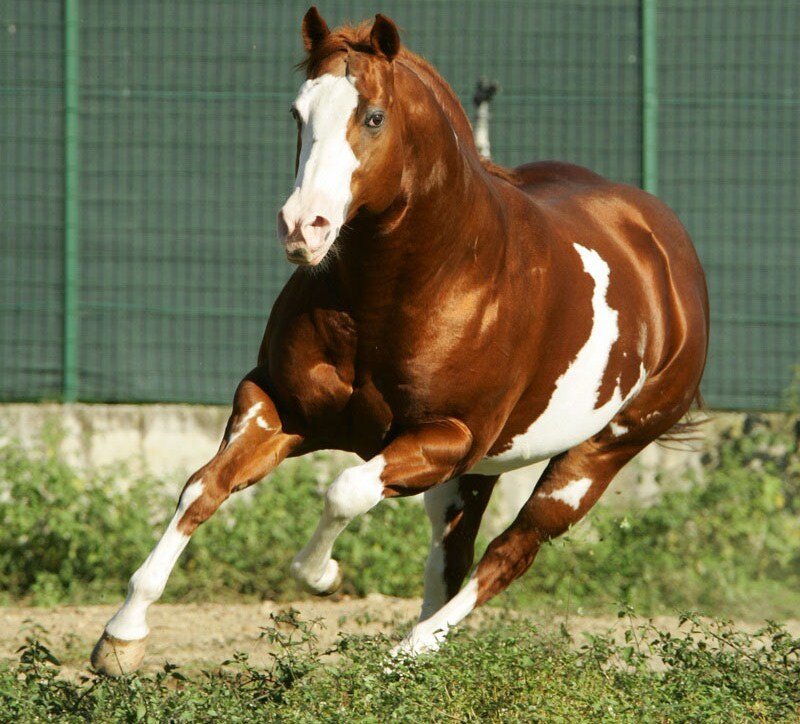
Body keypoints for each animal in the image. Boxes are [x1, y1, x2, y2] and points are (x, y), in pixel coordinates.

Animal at [91, 8, 709, 675]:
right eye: (297, 112)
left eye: (373, 117)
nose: (302, 227)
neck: (403, 293)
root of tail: (666, 248)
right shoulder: (278, 405)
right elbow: (203, 488)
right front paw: (122, 637)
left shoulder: (450, 438)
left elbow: (345, 491)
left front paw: (323, 573)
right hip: (474, 475)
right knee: (452, 556)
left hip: (595, 457)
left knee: (510, 553)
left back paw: (408, 655)